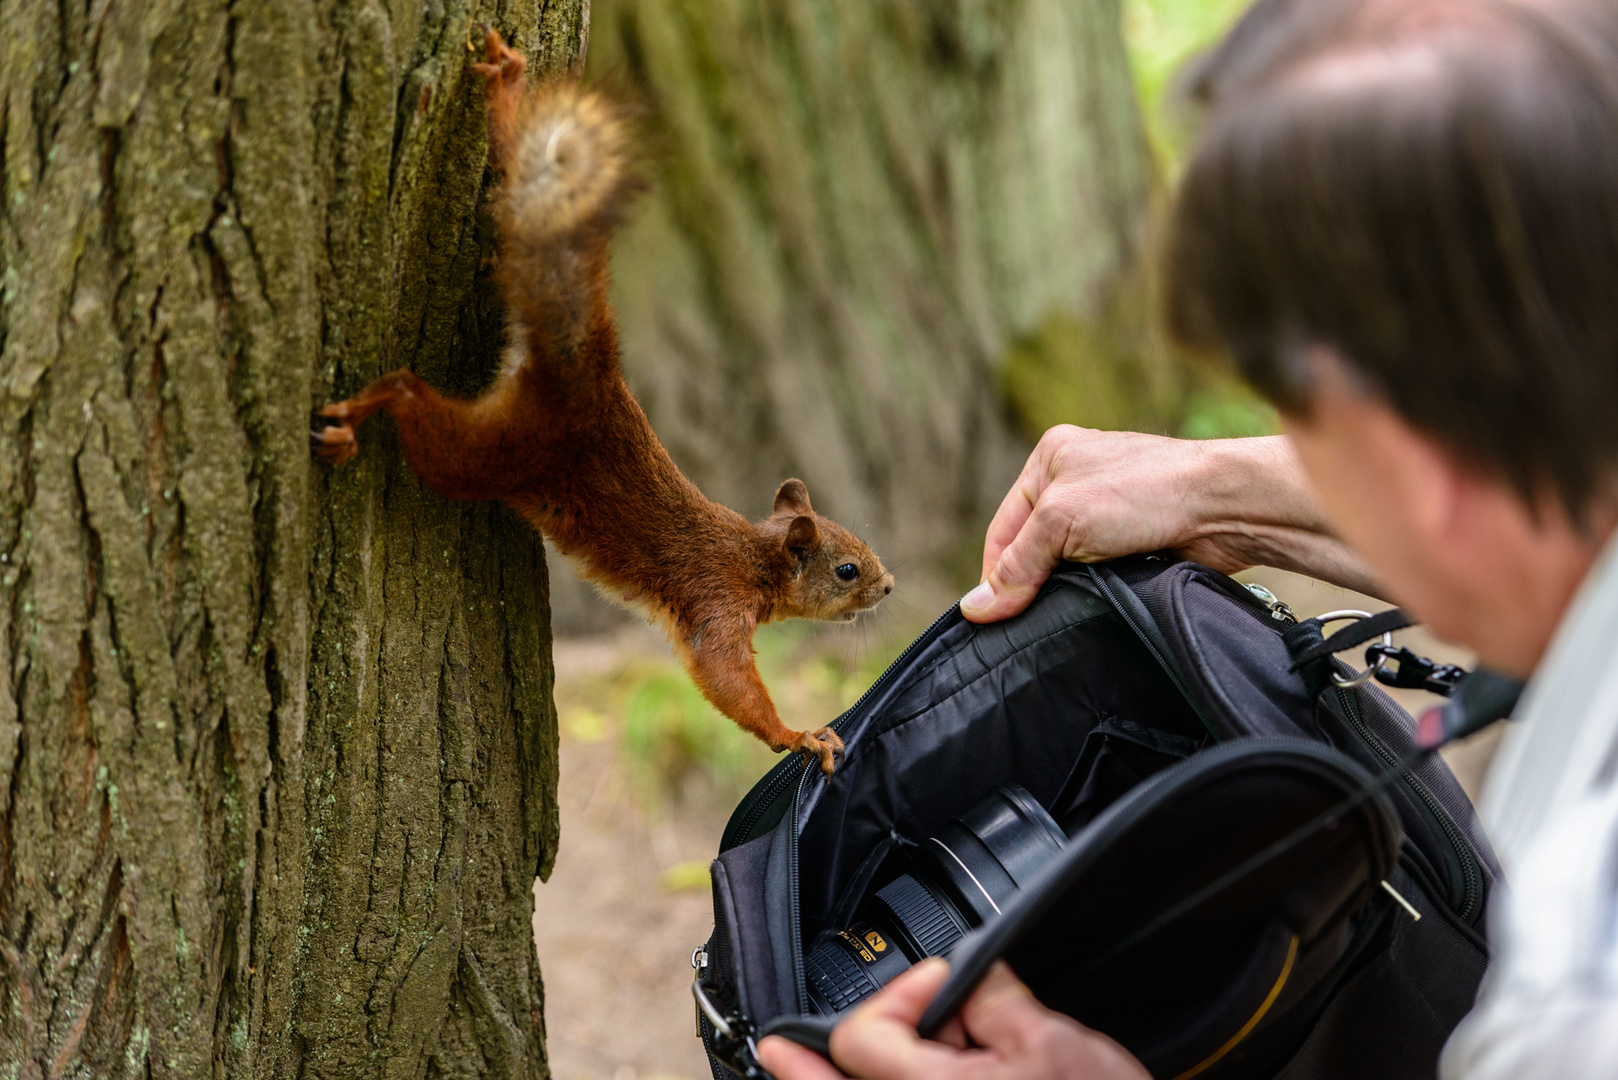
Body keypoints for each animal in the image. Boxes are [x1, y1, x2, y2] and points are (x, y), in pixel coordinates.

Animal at [312, 29, 899, 777]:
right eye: (847, 569)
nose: (889, 587)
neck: (754, 554)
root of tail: (581, 377)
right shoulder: (716, 603)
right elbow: (726, 679)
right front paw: (797, 735)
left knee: (513, 162)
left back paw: (505, 88)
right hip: (493, 454)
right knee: (416, 404)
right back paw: (361, 413)